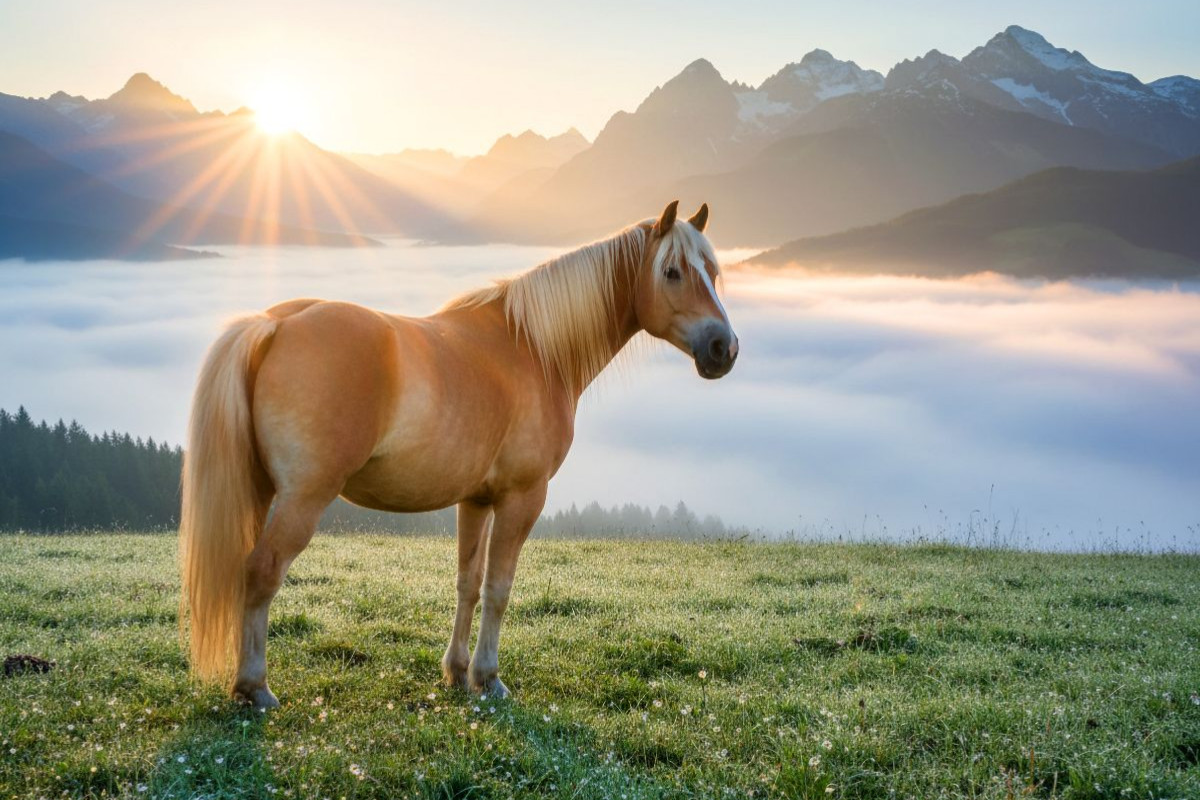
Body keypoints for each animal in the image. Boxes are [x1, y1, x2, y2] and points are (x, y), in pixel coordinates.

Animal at [179, 200, 738, 708]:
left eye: (713, 271)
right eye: (671, 272)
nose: (724, 349)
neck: (533, 348)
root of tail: (274, 324)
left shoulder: (477, 500)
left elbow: (467, 583)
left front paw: (456, 670)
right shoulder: (522, 498)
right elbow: (499, 587)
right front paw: (488, 678)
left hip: (259, 492)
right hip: (303, 498)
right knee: (262, 572)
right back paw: (254, 687)